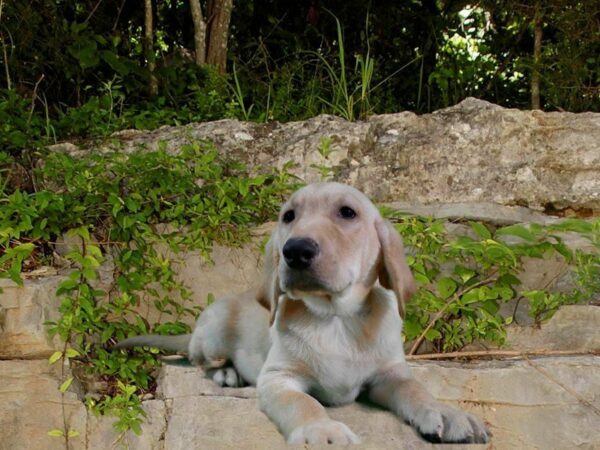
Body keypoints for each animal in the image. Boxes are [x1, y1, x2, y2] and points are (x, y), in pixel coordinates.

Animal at [115, 182, 490, 442]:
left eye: (347, 213)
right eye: (289, 216)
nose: (295, 250)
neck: (336, 318)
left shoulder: (389, 375)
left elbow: (416, 390)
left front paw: (446, 412)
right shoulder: (279, 378)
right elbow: (304, 403)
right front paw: (322, 431)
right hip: (213, 333)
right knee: (201, 362)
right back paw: (227, 374)